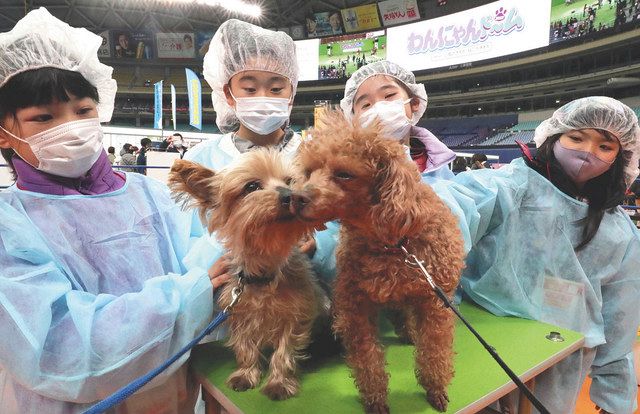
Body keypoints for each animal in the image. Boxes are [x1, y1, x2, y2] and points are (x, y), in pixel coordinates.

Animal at [168, 150, 328, 402]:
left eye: (290, 182)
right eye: (252, 186)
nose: (290, 195)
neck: (264, 271)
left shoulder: (295, 315)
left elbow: (284, 351)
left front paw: (279, 382)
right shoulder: (240, 313)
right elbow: (245, 347)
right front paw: (246, 374)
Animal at [296, 111, 464, 414]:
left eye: (344, 174)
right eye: (309, 171)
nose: (296, 197)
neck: (392, 242)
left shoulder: (433, 304)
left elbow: (434, 351)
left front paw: (435, 387)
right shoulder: (356, 308)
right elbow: (368, 360)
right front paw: (375, 398)